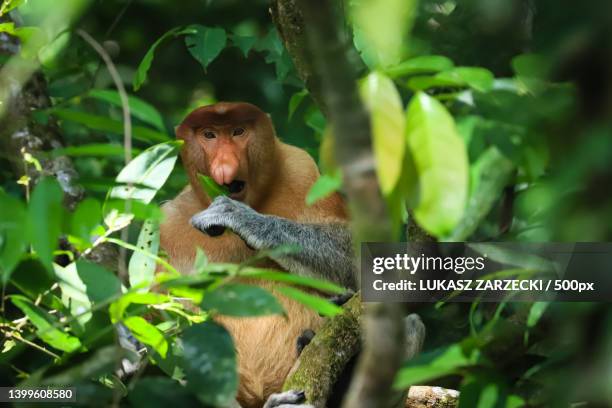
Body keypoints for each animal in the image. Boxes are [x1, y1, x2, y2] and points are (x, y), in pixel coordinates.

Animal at [160, 102, 356, 408]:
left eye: (238, 132)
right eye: (209, 135)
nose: (225, 165)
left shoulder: (301, 168)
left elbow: (355, 258)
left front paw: (237, 216)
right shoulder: (168, 225)